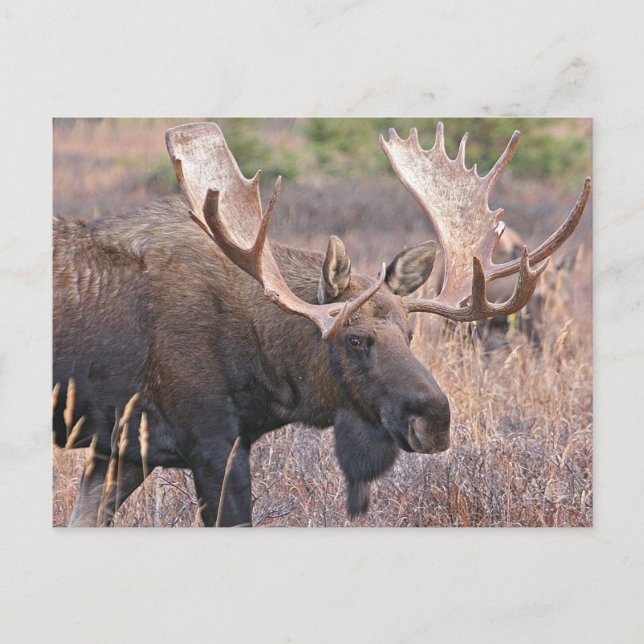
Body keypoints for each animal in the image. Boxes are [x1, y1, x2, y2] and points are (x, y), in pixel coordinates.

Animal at [52, 122, 591, 526]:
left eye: (411, 334)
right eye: (355, 339)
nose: (436, 420)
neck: (266, 374)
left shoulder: (122, 450)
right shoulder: (210, 442)